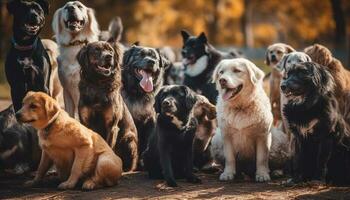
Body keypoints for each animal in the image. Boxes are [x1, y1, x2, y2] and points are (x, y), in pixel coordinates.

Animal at [77, 41, 137, 172]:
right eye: (97, 50)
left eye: (111, 51)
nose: (109, 57)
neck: (98, 84)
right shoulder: (85, 122)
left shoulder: (111, 125)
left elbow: (109, 146)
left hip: (129, 139)